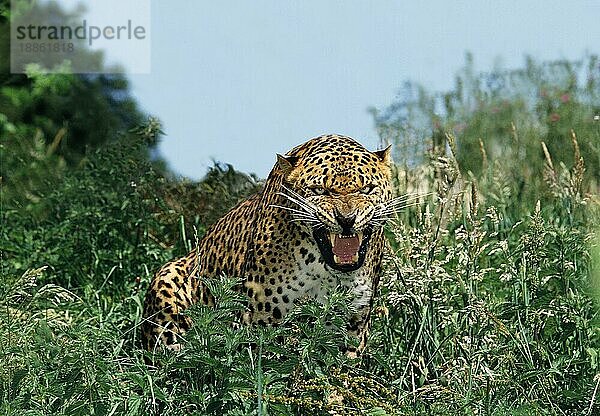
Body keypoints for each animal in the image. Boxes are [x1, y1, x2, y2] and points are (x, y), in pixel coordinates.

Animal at [142, 135, 400, 356]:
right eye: (319, 191)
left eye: (367, 188)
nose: (347, 219)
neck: (324, 269)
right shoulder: (262, 320)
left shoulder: (353, 324)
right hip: (166, 282)